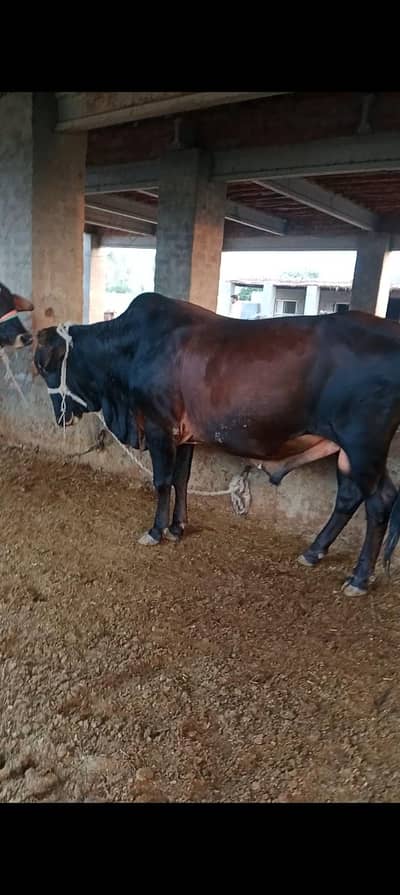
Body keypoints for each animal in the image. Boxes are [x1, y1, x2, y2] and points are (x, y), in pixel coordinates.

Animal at [34, 291, 400, 597]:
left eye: (46, 365)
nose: (60, 416)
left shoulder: (158, 426)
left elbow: (162, 481)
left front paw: (156, 530)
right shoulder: (184, 435)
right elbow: (182, 479)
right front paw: (177, 527)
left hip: (363, 446)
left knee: (376, 501)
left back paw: (358, 578)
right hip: (351, 452)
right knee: (355, 497)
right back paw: (314, 553)